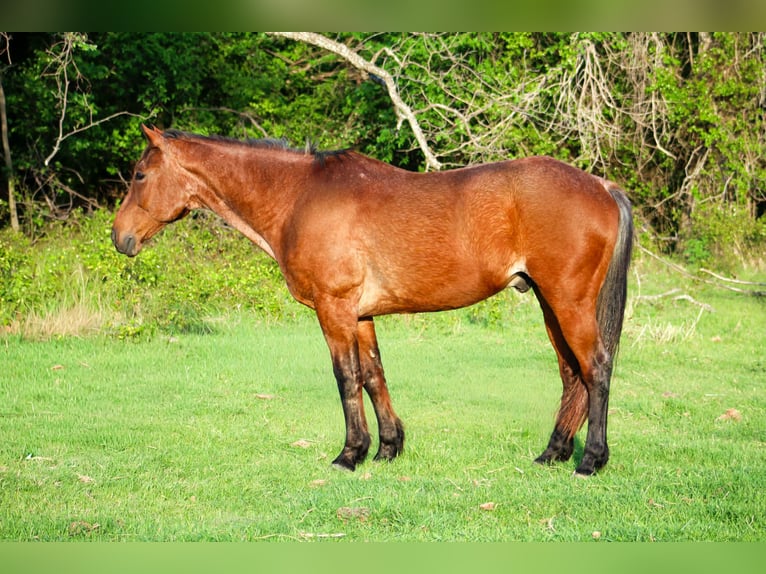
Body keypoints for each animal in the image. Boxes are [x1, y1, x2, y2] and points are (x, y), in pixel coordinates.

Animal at [112, 125, 633, 476]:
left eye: (139, 174)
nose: (120, 238)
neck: (299, 197)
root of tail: (601, 186)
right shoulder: (360, 315)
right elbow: (374, 375)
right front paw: (387, 448)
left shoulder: (334, 308)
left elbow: (346, 377)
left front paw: (350, 454)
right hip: (549, 303)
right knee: (571, 374)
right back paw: (553, 453)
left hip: (568, 303)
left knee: (596, 368)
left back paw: (590, 459)